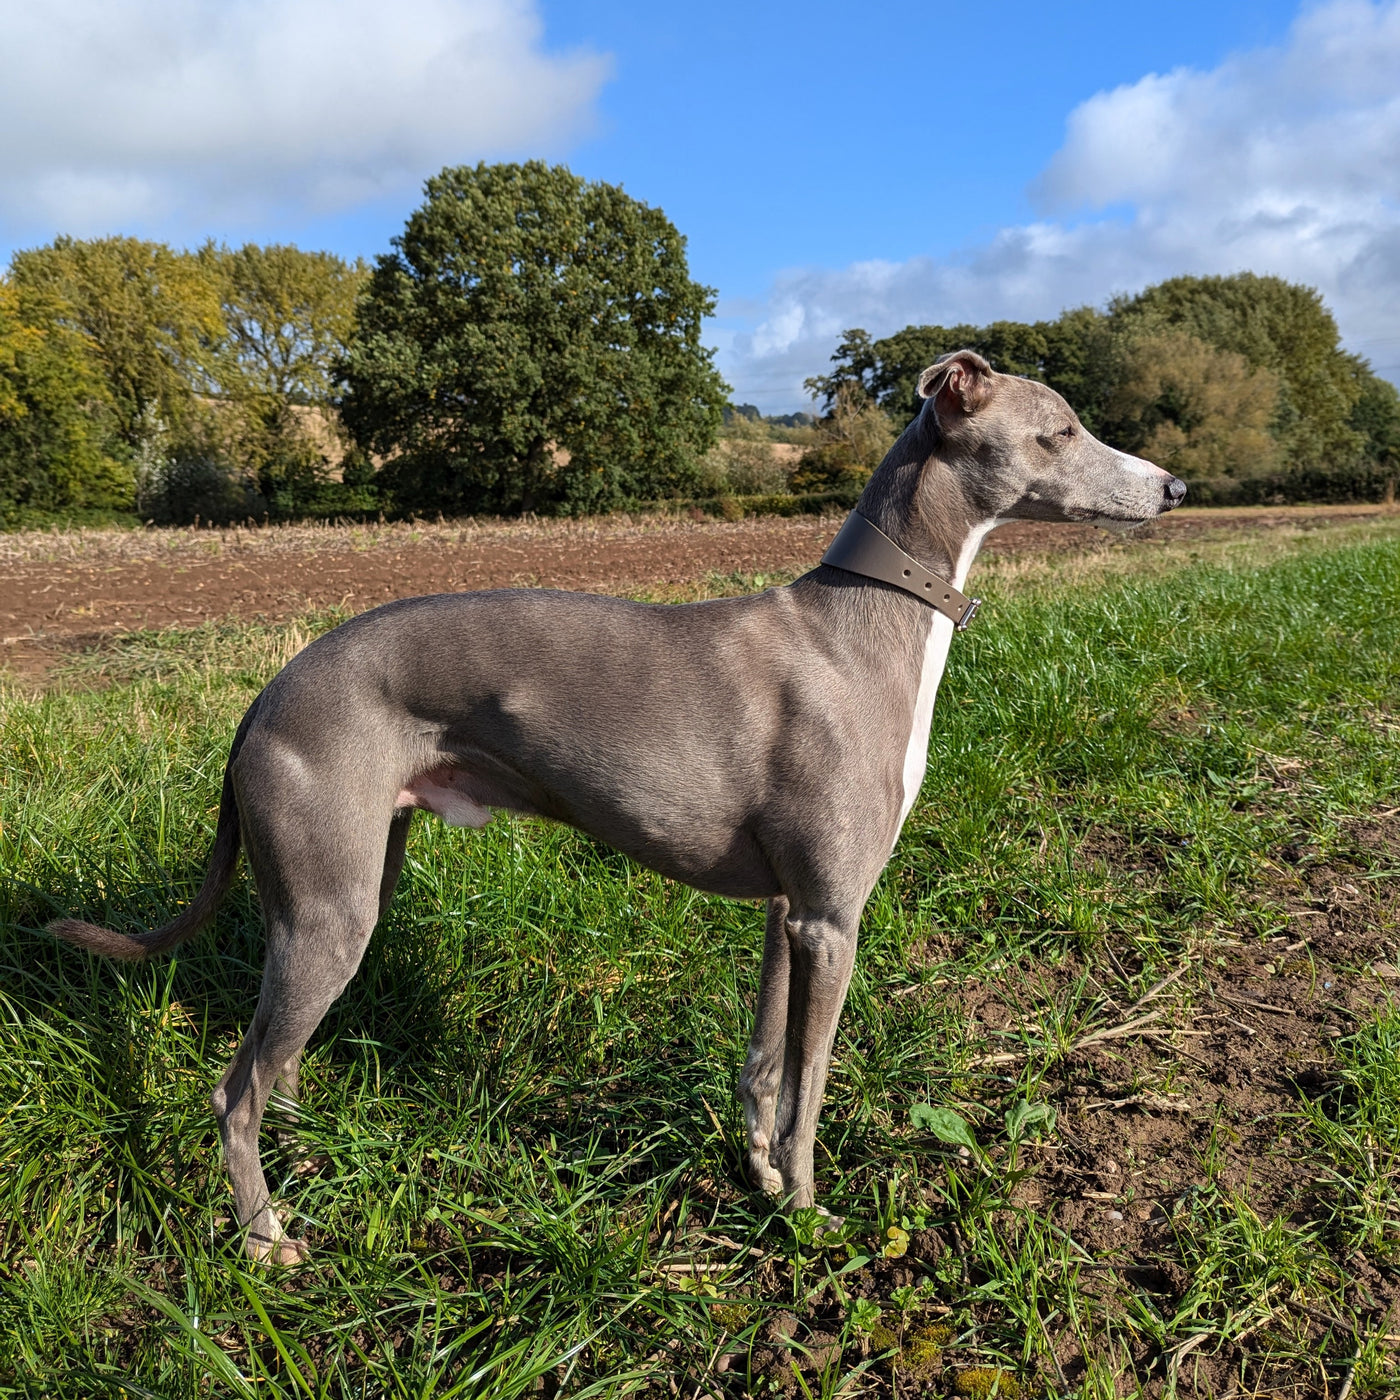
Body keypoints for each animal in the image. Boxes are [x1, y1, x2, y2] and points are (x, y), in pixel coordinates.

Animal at [46, 352, 1181, 1271]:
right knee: (232, 1089)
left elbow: (764, 1066)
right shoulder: (833, 917)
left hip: (354, 882)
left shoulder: (787, 911)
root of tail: (264, 698)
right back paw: (263, 1237)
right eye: (1059, 430)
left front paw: (760, 1179)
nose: (1174, 486)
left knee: (275, 1068)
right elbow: (812, 1084)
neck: (867, 622)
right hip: (329, 910)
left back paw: (309, 1151)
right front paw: (809, 1215)